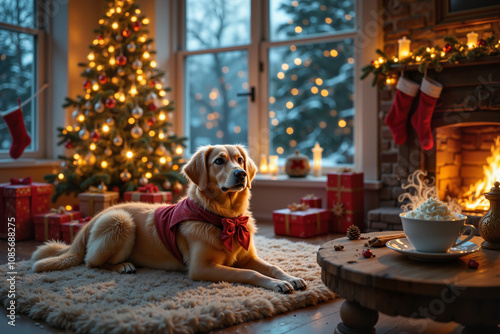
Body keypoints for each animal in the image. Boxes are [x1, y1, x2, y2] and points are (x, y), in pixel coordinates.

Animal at [33, 145, 306, 294]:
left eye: (239, 160)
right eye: (219, 161)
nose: (241, 174)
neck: (223, 218)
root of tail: (96, 216)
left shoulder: (248, 256)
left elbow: (272, 267)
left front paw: (289, 277)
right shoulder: (201, 268)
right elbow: (250, 274)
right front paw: (276, 284)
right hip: (122, 222)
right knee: (91, 262)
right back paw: (122, 266)